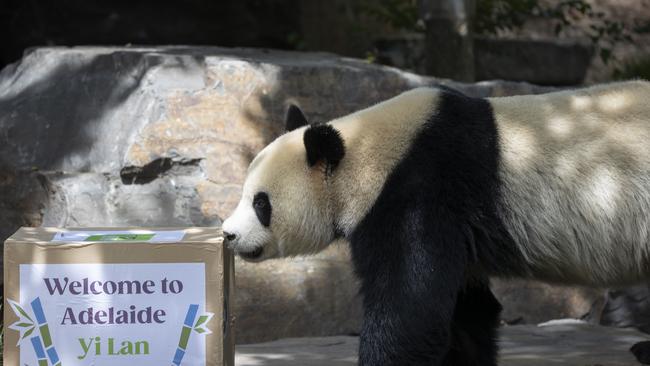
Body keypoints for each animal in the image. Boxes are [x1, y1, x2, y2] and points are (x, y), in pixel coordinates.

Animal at [223, 81, 650, 366]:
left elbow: (410, 309)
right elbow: (467, 309)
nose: (228, 233)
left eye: (261, 203)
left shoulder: (419, 191)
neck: (364, 150)